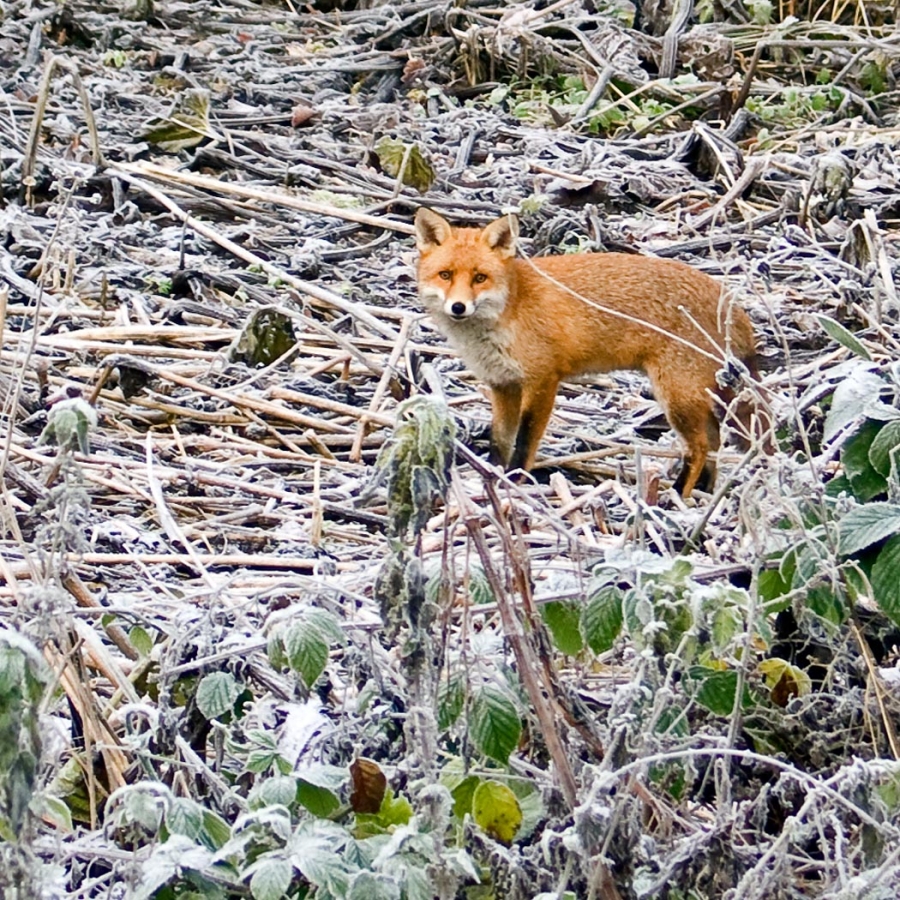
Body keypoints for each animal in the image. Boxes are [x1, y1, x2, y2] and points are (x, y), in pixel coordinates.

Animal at [414, 207, 764, 497]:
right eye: (445, 275)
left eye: (479, 278)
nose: (458, 307)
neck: (510, 309)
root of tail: (732, 303)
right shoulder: (503, 384)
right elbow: (499, 442)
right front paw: (493, 479)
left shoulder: (543, 379)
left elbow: (525, 442)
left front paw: (512, 482)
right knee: (715, 439)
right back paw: (704, 492)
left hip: (676, 397)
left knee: (702, 446)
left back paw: (674, 497)